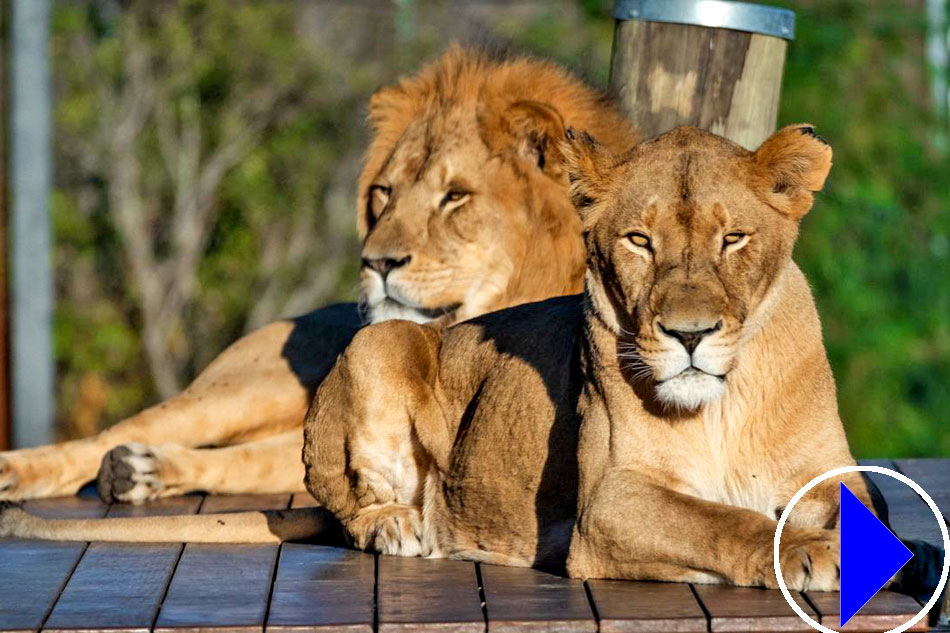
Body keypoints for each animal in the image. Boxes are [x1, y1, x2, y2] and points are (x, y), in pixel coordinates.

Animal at [1, 44, 640, 502]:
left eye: (455, 196)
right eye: (385, 193)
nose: (376, 261)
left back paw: (139, 472)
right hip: (245, 390)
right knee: (124, 431)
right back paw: (27, 471)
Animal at [1, 124, 936, 596]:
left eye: (733, 238)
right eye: (638, 241)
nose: (691, 333)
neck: (725, 400)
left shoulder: (835, 471)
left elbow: (869, 507)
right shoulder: (609, 503)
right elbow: (722, 519)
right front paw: (813, 552)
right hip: (379, 337)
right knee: (347, 497)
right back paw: (404, 525)